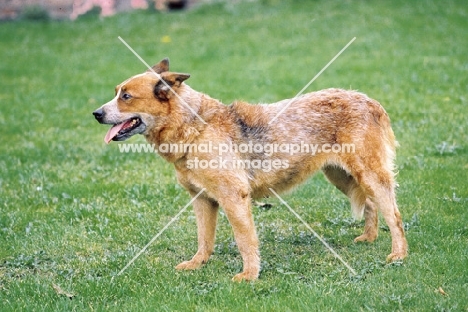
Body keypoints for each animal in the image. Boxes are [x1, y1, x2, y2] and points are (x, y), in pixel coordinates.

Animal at [93, 58, 408, 280]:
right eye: (116, 93)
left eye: (126, 97)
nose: (96, 113)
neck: (195, 129)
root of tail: (370, 101)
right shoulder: (202, 199)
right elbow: (204, 239)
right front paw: (198, 264)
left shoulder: (234, 197)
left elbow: (245, 240)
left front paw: (249, 275)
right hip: (342, 176)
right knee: (370, 204)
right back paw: (369, 238)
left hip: (370, 175)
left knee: (394, 215)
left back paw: (399, 255)